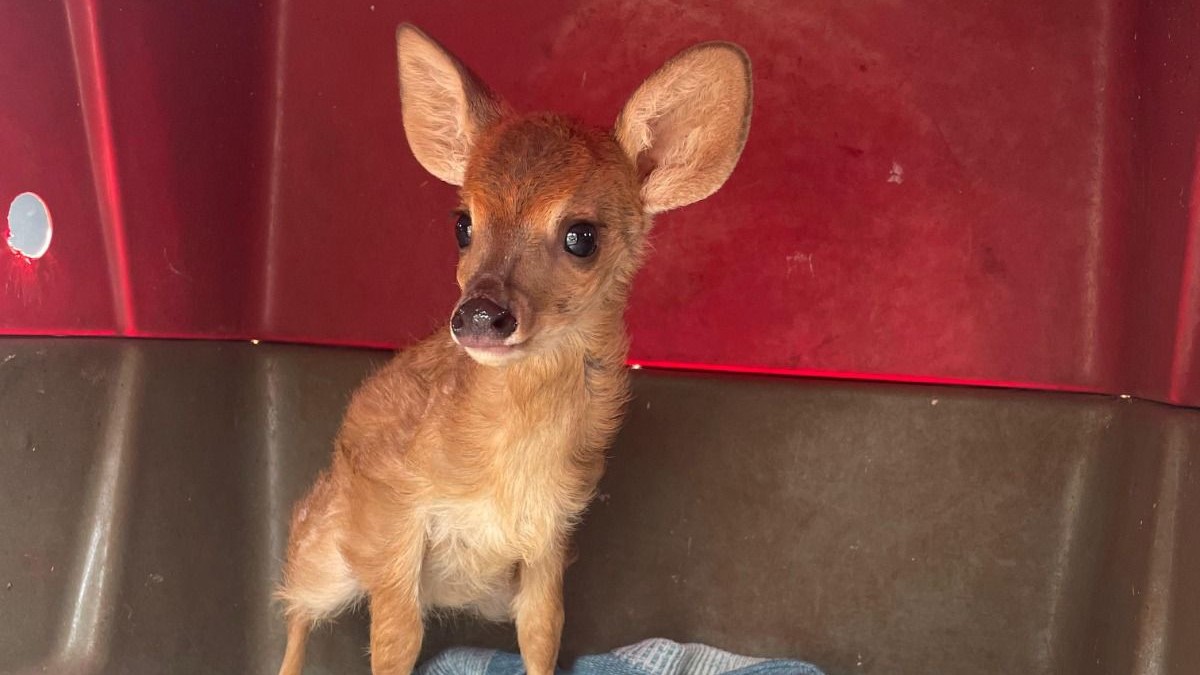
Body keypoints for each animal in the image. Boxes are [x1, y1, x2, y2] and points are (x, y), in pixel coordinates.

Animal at [277, 22, 753, 672]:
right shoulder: (395, 514)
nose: (480, 314)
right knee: (295, 600)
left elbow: (544, 632)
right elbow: (396, 643)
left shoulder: (550, 536)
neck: (500, 471)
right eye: (462, 223)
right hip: (328, 543)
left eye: (582, 235)